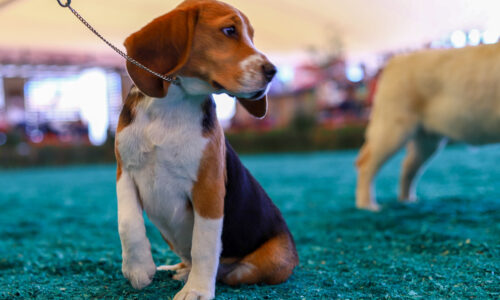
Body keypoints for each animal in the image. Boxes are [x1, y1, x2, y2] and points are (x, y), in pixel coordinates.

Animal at [115, 1, 298, 298]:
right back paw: (178, 269)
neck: (174, 103)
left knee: (230, 270)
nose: (273, 71)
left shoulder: (209, 188)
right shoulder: (125, 171)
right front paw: (138, 269)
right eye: (229, 30)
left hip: (269, 261)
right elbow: (127, 222)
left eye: (252, 36)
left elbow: (204, 245)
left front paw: (198, 290)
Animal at [356, 42, 500, 211]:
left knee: (407, 167)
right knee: (366, 164)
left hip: (426, 141)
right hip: (393, 130)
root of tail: (395, 62)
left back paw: (407, 200)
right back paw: (367, 205)